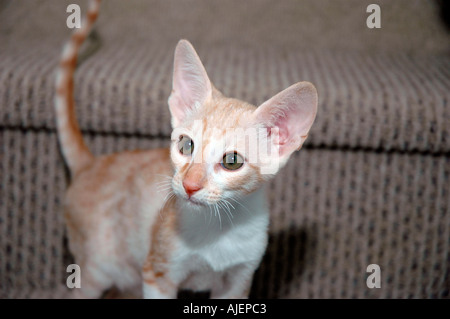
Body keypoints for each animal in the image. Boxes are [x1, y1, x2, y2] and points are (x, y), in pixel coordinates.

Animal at [54, 0, 318, 300]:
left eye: (232, 161)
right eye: (186, 145)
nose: (190, 185)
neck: (219, 229)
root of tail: (91, 163)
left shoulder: (239, 281)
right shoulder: (157, 273)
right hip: (97, 269)